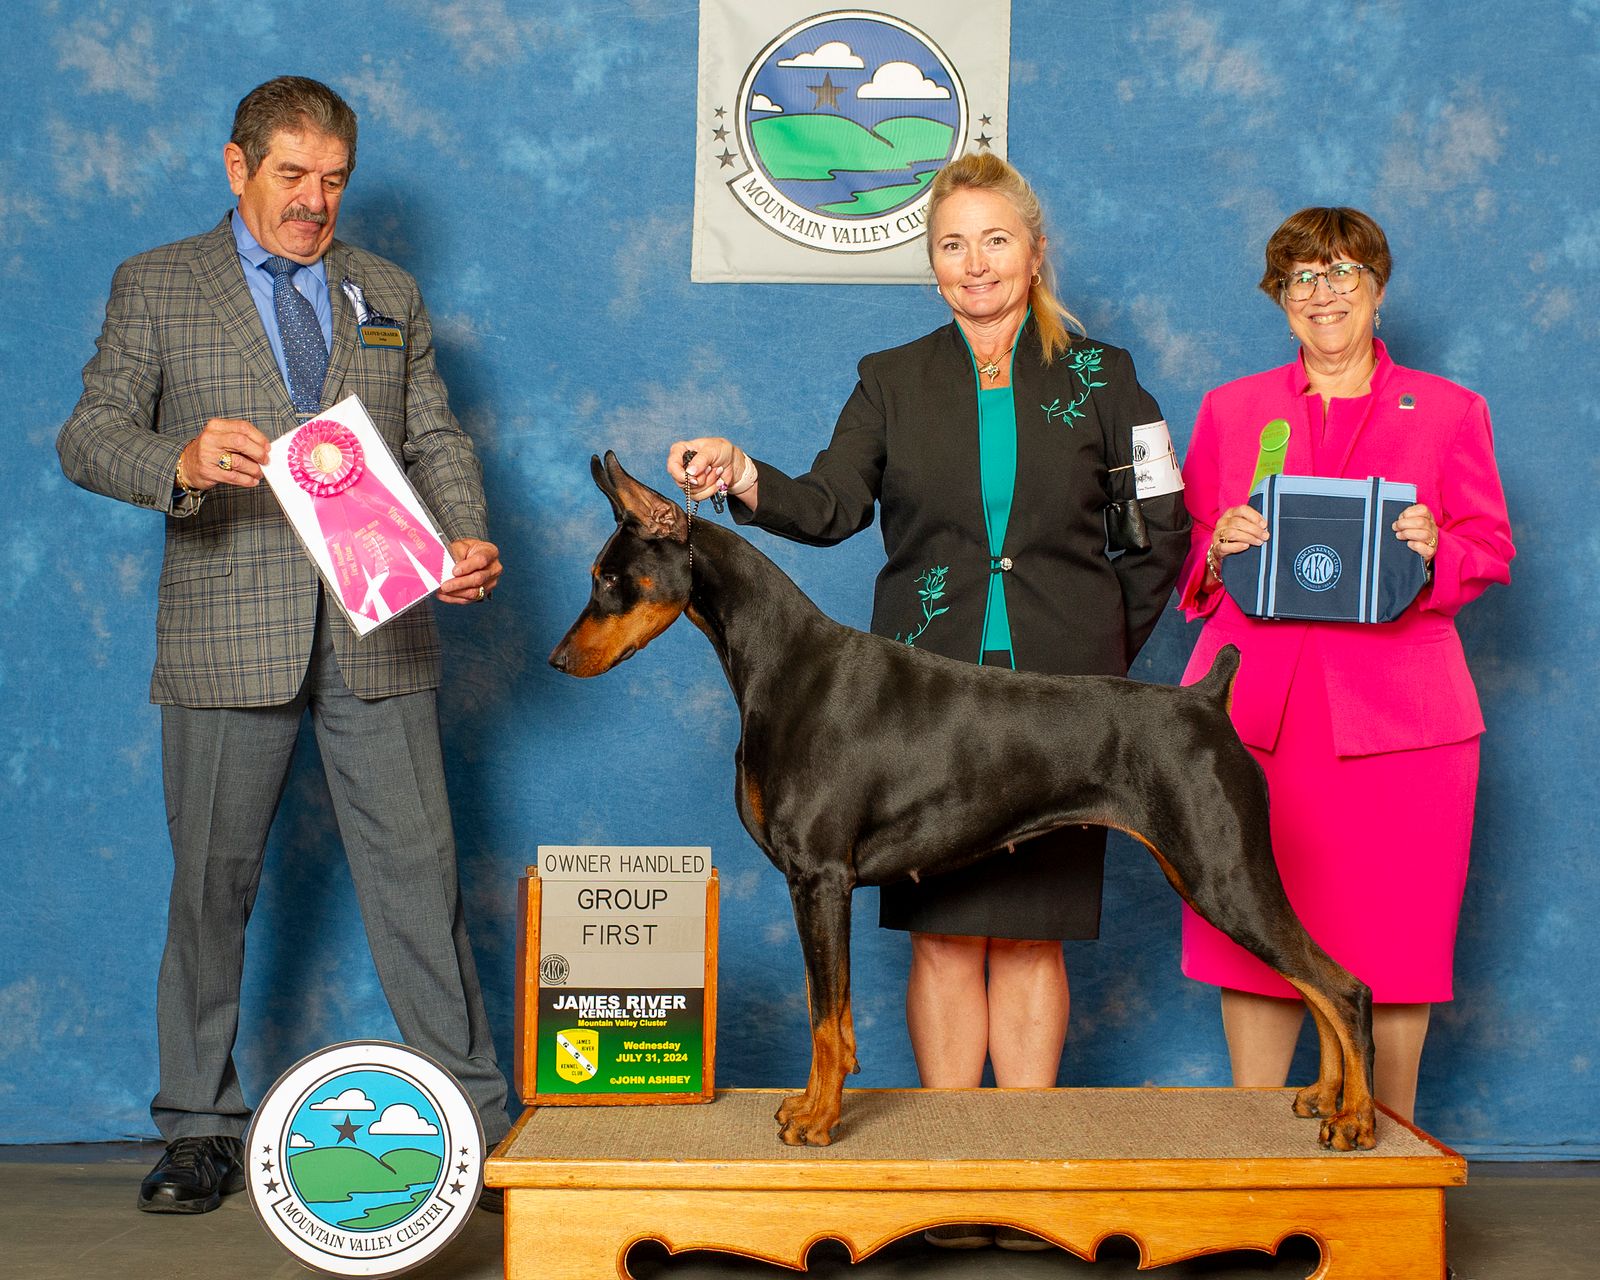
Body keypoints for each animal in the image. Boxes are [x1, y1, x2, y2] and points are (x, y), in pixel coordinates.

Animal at [549, 453, 1376, 1151]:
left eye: (607, 579)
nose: (556, 660)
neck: (780, 660)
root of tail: (1208, 700)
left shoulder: (819, 877)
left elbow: (826, 1018)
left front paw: (819, 1119)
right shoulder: (818, 885)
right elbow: (832, 1012)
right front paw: (815, 1105)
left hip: (1221, 871)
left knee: (1344, 988)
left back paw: (1357, 1120)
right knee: (1314, 985)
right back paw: (1324, 1097)